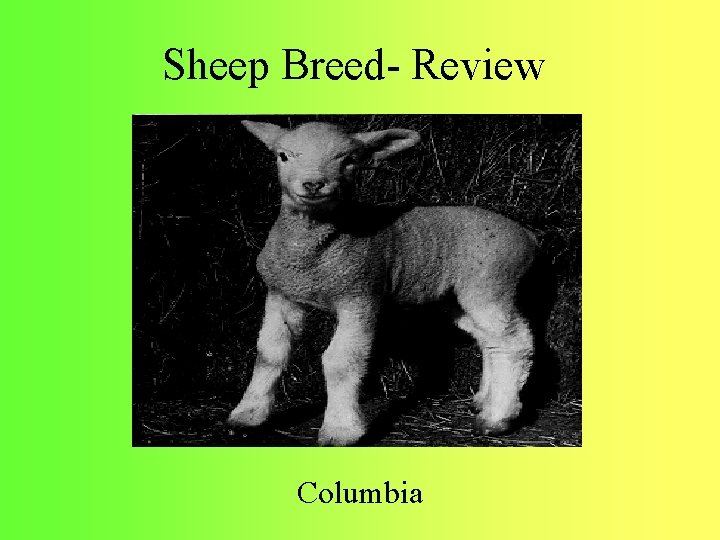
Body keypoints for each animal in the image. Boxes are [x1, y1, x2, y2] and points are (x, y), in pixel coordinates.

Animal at [227, 120, 542, 446]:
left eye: (349, 160)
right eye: (283, 155)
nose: (314, 184)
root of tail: (527, 236)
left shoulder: (359, 296)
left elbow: (341, 361)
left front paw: (340, 430)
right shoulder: (283, 294)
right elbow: (270, 354)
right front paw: (248, 416)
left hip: (490, 283)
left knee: (514, 342)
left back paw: (498, 417)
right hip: (458, 296)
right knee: (490, 340)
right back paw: (485, 400)